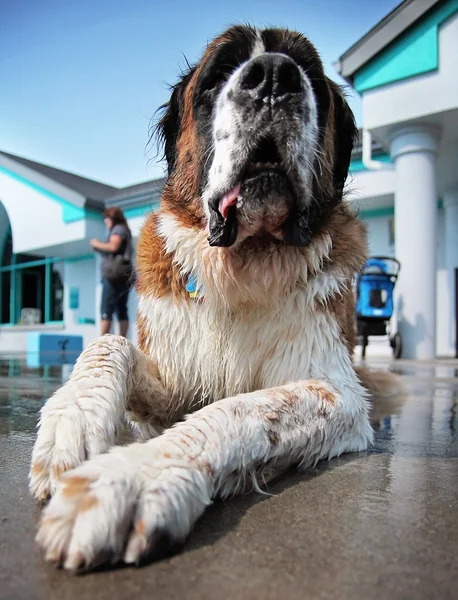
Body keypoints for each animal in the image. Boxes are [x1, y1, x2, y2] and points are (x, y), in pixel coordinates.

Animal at [30, 27, 398, 572]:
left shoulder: (340, 396)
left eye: (308, 74)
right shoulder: (168, 383)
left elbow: (242, 408)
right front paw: (71, 420)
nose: (274, 76)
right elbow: (106, 346)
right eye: (220, 73)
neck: (246, 263)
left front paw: (134, 476)